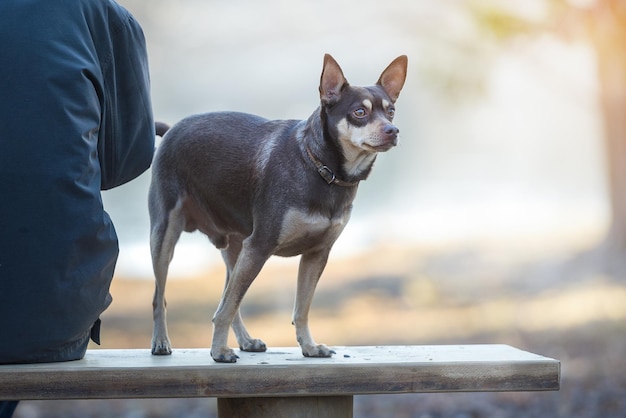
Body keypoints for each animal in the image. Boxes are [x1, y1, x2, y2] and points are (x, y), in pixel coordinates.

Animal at [149, 54, 408, 362]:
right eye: (359, 112)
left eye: (390, 111)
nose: (393, 131)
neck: (323, 169)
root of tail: (171, 130)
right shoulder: (260, 245)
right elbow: (228, 307)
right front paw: (218, 351)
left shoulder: (316, 254)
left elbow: (301, 309)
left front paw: (309, 347)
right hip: (165, 236)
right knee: (162, 297)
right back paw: (162, 342)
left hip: (236, 249)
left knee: (226, 297)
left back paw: (246, 340)